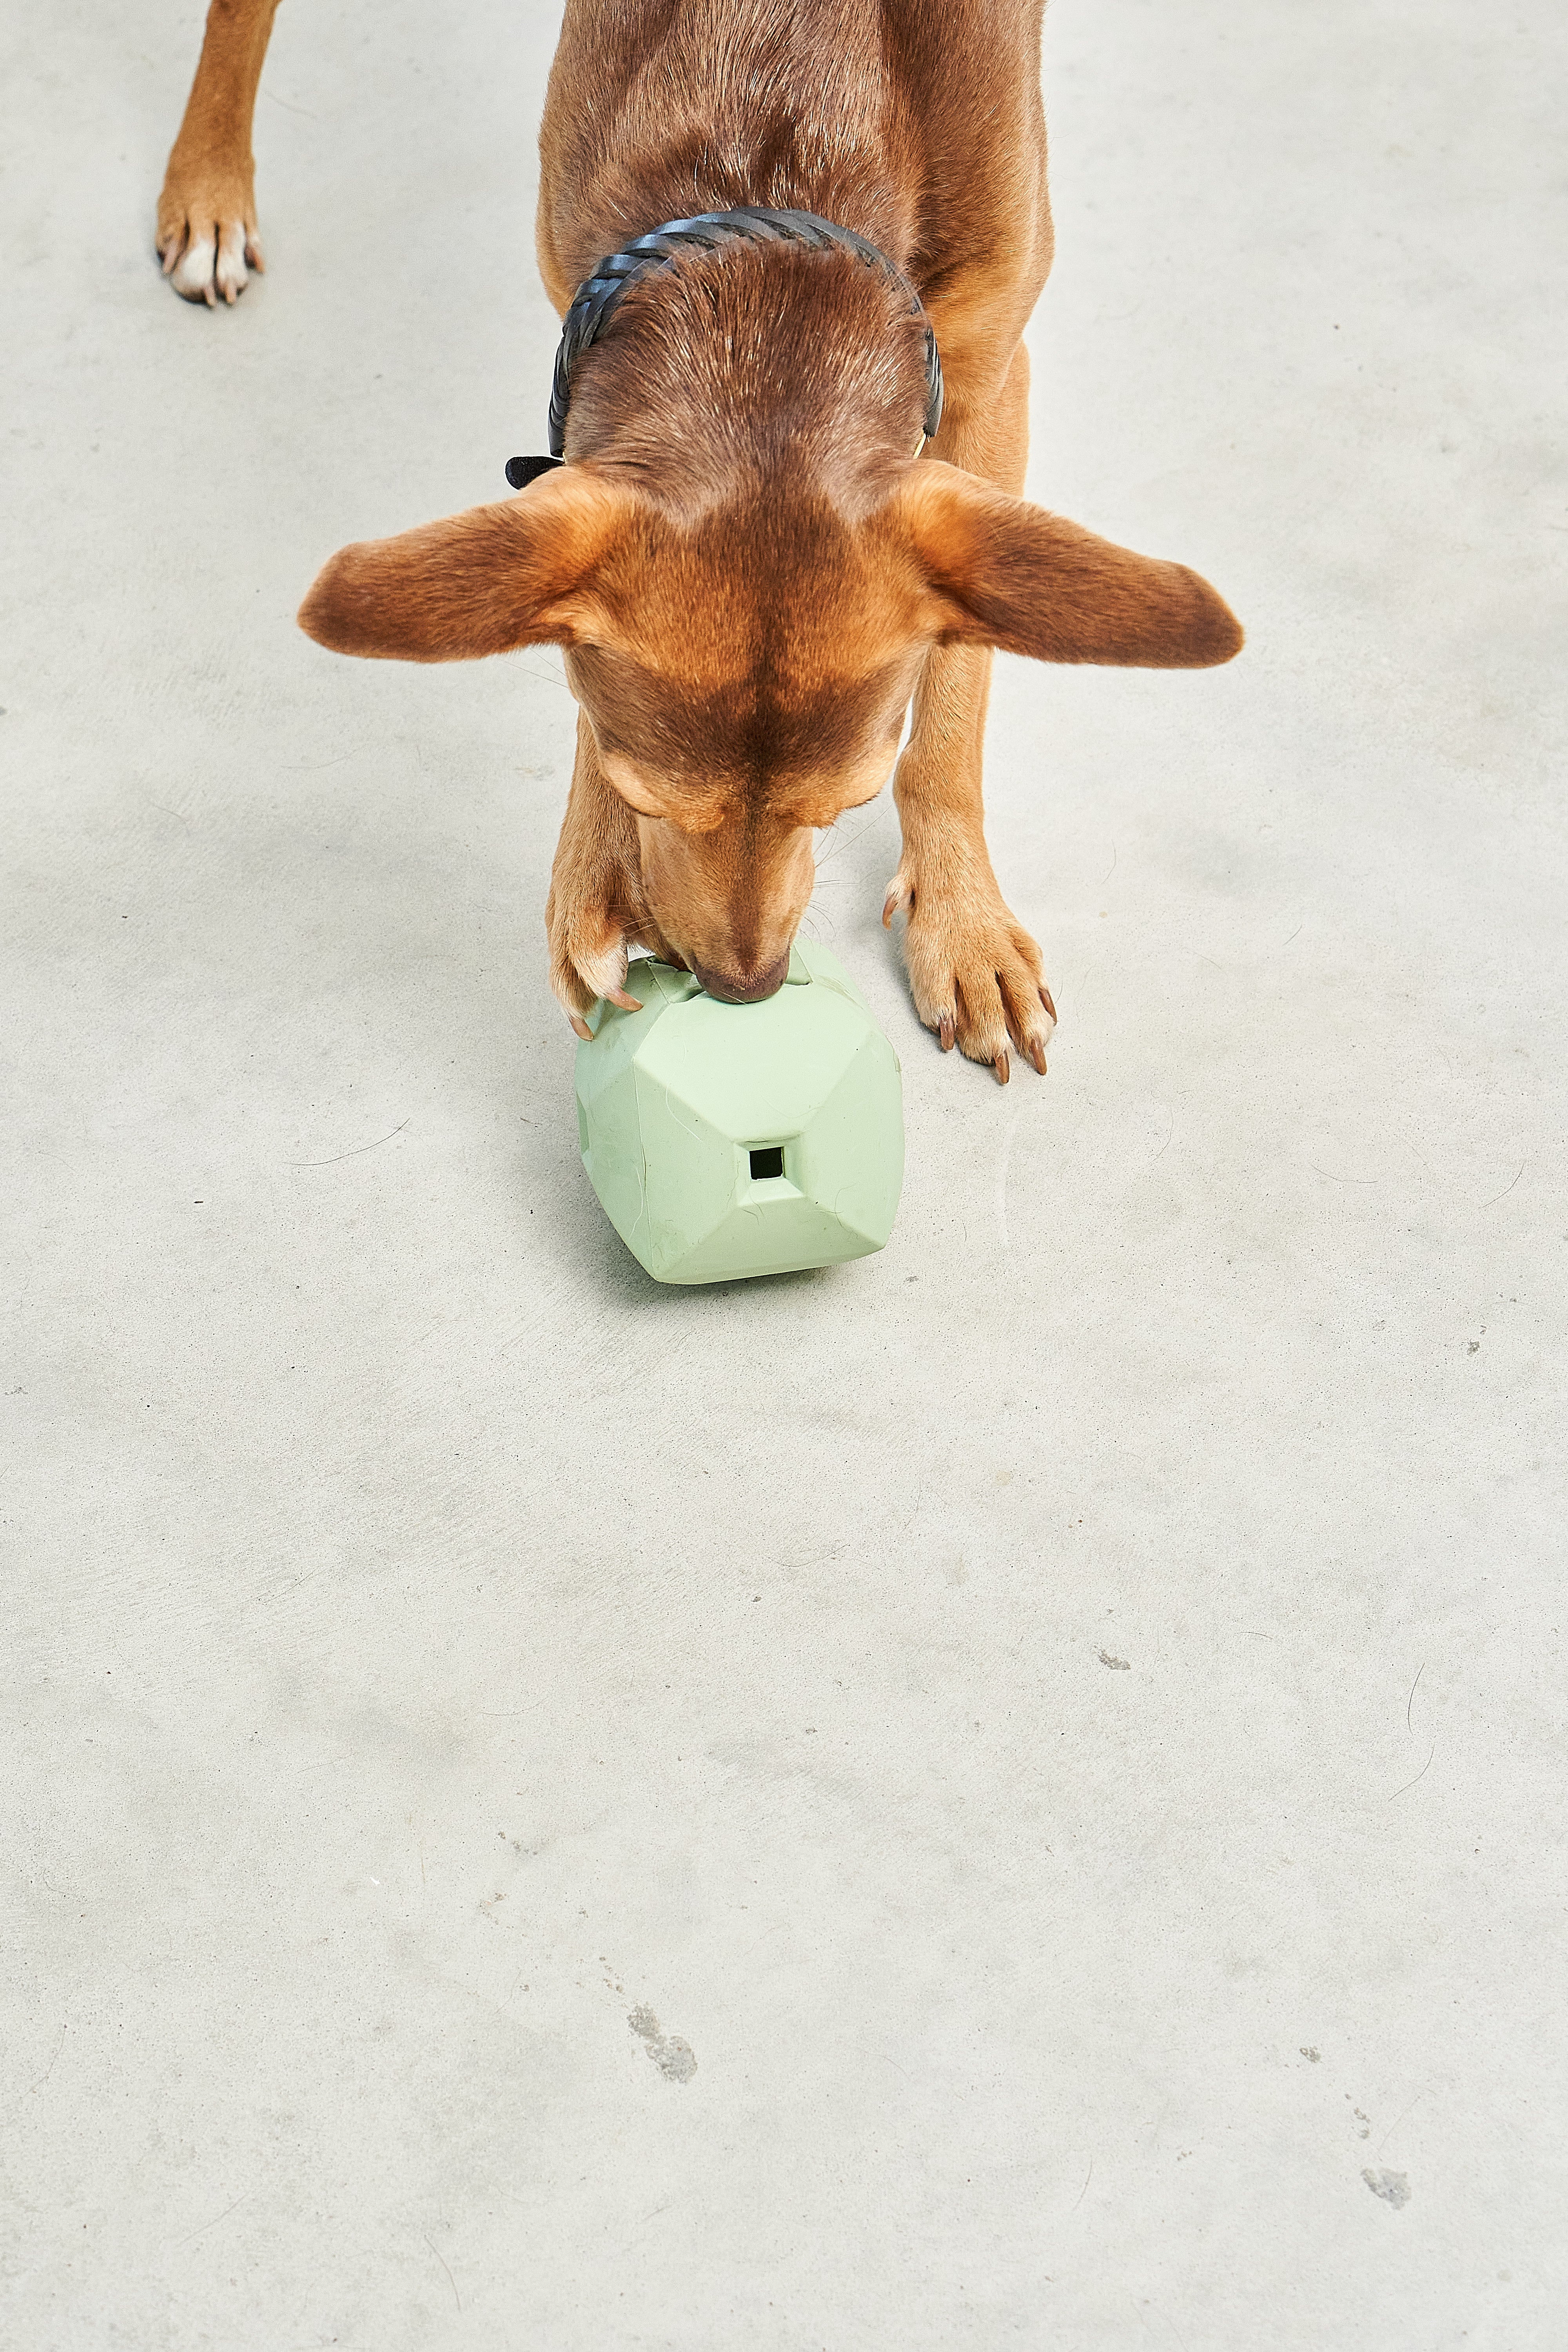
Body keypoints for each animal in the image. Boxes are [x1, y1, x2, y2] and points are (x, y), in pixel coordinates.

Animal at [156, 0, 1241, 1077]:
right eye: (655, 800)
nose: (743, 989)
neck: (781, 142)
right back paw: (207, 190)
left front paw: (963, 923)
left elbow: (956, 697)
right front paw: (591, 878)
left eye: (841, 808)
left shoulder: (989, 379)